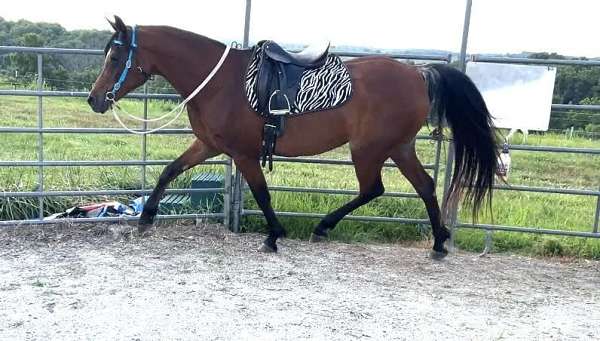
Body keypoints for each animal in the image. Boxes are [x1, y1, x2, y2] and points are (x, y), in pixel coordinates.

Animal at [86, 14, 500, 256]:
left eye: (115, 58)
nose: (94, 99)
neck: (220, 82)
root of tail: (418, 73)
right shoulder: (208, 145)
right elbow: (169, 170)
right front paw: (146, 217)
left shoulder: (243, 154)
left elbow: (261, 193)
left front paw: (273, 235)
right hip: (399, 148)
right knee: (425, 186)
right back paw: (439, 241)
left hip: (368, 150)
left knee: (373, 189)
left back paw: (324, 227)